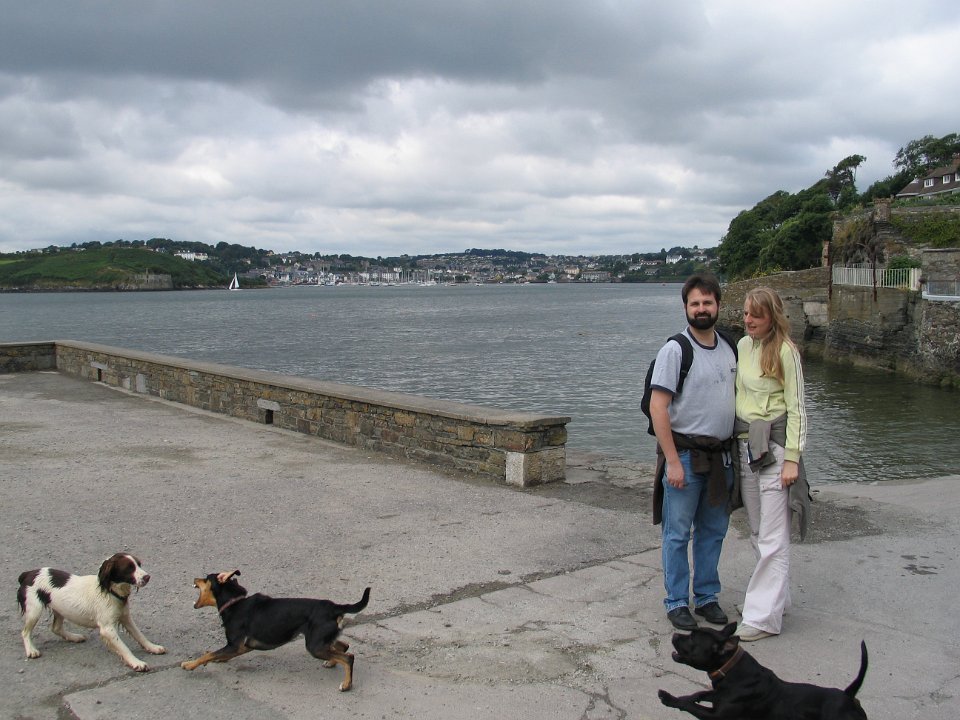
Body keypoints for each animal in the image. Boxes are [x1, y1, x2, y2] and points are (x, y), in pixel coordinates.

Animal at [17, 553, 166, 671]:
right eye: (129, 568)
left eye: (139, 564)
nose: (147, 577)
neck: (110, 591)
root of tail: (27, 573)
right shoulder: (107, 629)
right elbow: (124, 647)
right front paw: (136, 662)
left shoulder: (125, 617)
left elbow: (139, 635)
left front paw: (153, 647)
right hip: (34, 611)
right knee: (25, 632)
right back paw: (31, 650)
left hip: (59, 609)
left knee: (56, 628)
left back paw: (74, 637)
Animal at [181, 570, 371, 692]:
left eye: (206, 578)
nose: (195, 577)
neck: (235, 602)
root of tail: (335, 607)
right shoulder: (241, 647)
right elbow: (216, 654)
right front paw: (218, 660)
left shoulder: (235, 645)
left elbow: (208, 654)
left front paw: (189, 664)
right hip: (320, 641)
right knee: (343, 647)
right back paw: (331, 663)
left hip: (314, 646)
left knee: (348, 657)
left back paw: (346, 685)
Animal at [658, 622, 868, 719]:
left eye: (692, 639)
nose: (675, 635)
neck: (731, 671)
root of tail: (848, 697)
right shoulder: (717, 694)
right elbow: (700, 693)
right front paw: (689, 696)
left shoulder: (716, 717)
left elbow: (690, 706)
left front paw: (670, 698)